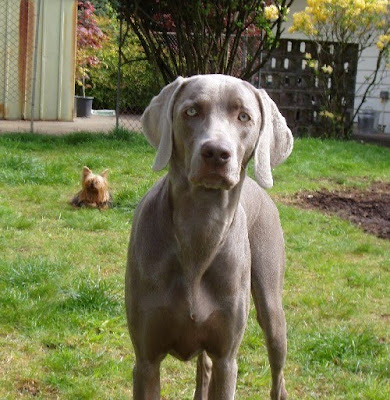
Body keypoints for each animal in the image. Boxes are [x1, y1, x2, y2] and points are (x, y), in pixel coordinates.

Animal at [125, 73, 292, 398]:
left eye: (244, 116)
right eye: (191, 111)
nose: (216, 152)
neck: (200, 229)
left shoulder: (227, 359)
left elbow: (224, 366)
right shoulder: (146, 361)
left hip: (271, 308)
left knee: (277, 376)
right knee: (204, 368)